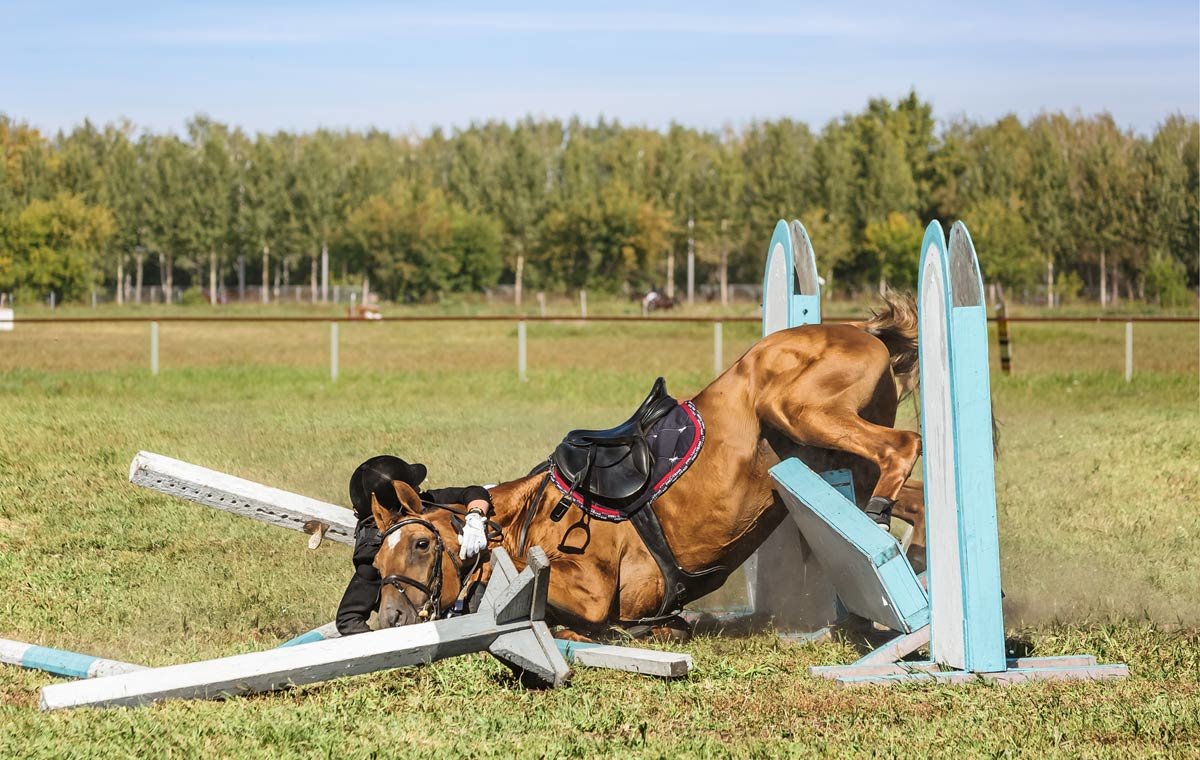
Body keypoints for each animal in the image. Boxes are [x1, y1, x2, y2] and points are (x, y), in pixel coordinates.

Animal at [369, 295, 921, 633]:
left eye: (421, 545)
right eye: (376, 563)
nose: (389, 620)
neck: (531, 515)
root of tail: (861, 330)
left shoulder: (591, 588)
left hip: (796, 409)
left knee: (904, 445)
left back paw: (881, 523)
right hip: (829, 449)